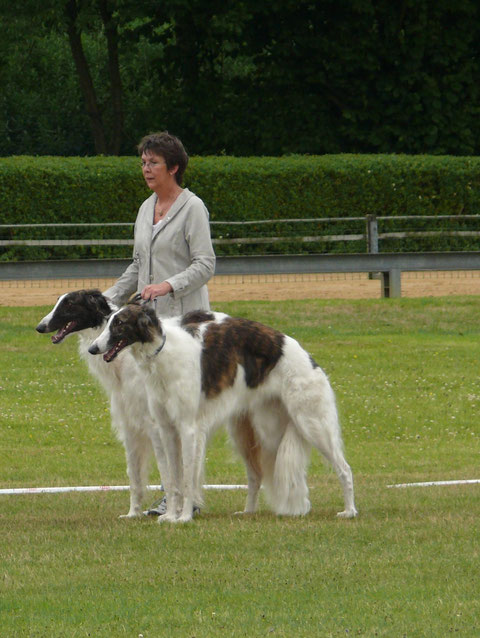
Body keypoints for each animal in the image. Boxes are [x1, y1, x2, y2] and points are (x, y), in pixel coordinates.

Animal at [35, 290, 169, 520]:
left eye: (69, 304)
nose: (40, 327)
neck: (125, 361)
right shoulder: (130, 425)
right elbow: (134, 475)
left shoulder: (155, 425)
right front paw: (133, 513)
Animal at [88, 300, 356, 524]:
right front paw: (171, 516)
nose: (93, 348)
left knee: (344, 468)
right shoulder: (166, 428)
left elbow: (187, 479)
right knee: (257, 475)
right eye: (108, 322)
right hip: (257, 433)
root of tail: (308, 359)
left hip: (312, 423)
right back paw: (248, 511)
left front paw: (184, 517)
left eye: (119, 324)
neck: (162, 353)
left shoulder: (187, 428)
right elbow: (172, 480)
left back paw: (349, 511)